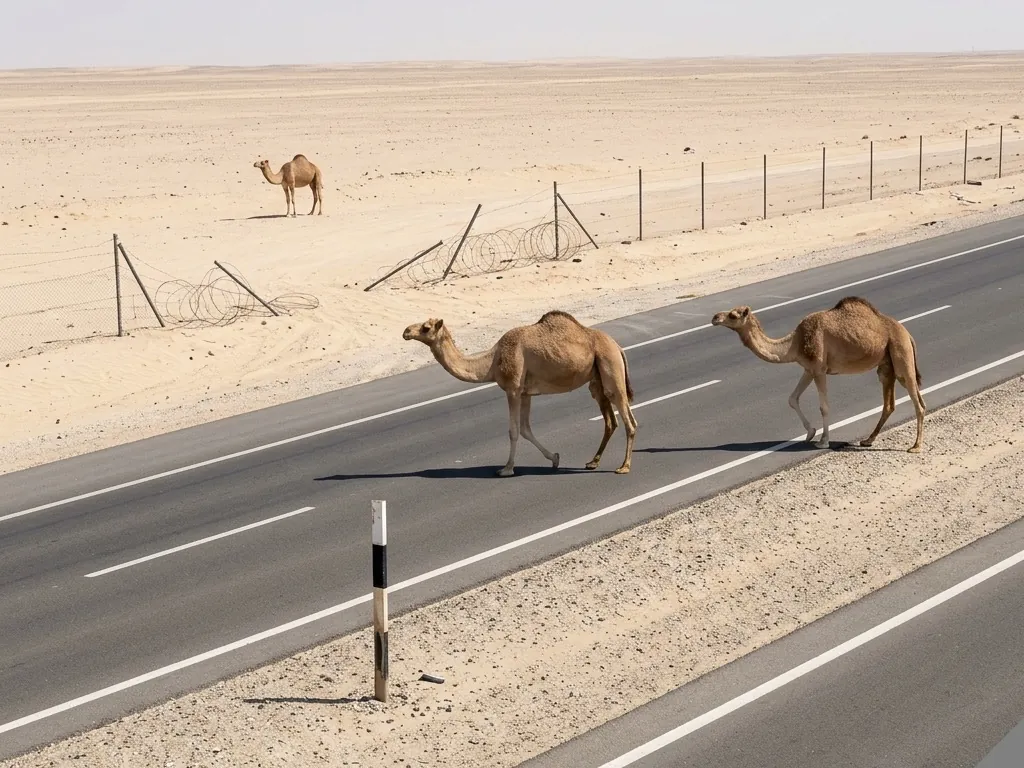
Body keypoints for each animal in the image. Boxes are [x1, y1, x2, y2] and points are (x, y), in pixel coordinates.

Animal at [402, 310, 638, 476]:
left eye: (425, 328)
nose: (405, 331)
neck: (492, 362)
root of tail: (617, 346)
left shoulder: (513, 389)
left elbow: (514, 431)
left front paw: (506, 469)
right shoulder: (526, 393)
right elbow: (525, 429)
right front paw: (555, 458)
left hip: (610, 367)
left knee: (629, 419)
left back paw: (624, 467)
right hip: (596, 379)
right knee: (610, 420)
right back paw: (592, 462)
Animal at [711, 296, 926, 452]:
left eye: (733, 315)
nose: (715, 317)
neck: (795, 343)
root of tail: (907, 334)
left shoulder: (819, 369)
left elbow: (824, 407)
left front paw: (823, 441)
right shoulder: (809, 369)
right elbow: (792, 398)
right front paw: (810, 433)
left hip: (900, 353)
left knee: (917, 401)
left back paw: (915, 446)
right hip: (886, 365)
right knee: (890, 403)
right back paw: (868, 440)